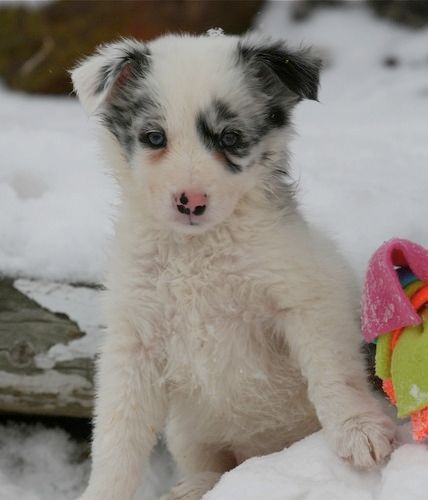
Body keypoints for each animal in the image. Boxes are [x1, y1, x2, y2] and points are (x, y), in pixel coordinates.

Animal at [71, 32, 396, 500]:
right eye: (153, 137)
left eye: (230, 137)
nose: (190, 201)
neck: (197, 252)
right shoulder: (135, 341)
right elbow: (117, 435)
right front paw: (103, 492)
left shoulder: (304, 297)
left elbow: (334, 372)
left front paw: (358, 429)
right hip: (190, 434)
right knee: (210, 466)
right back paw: (193, 487)